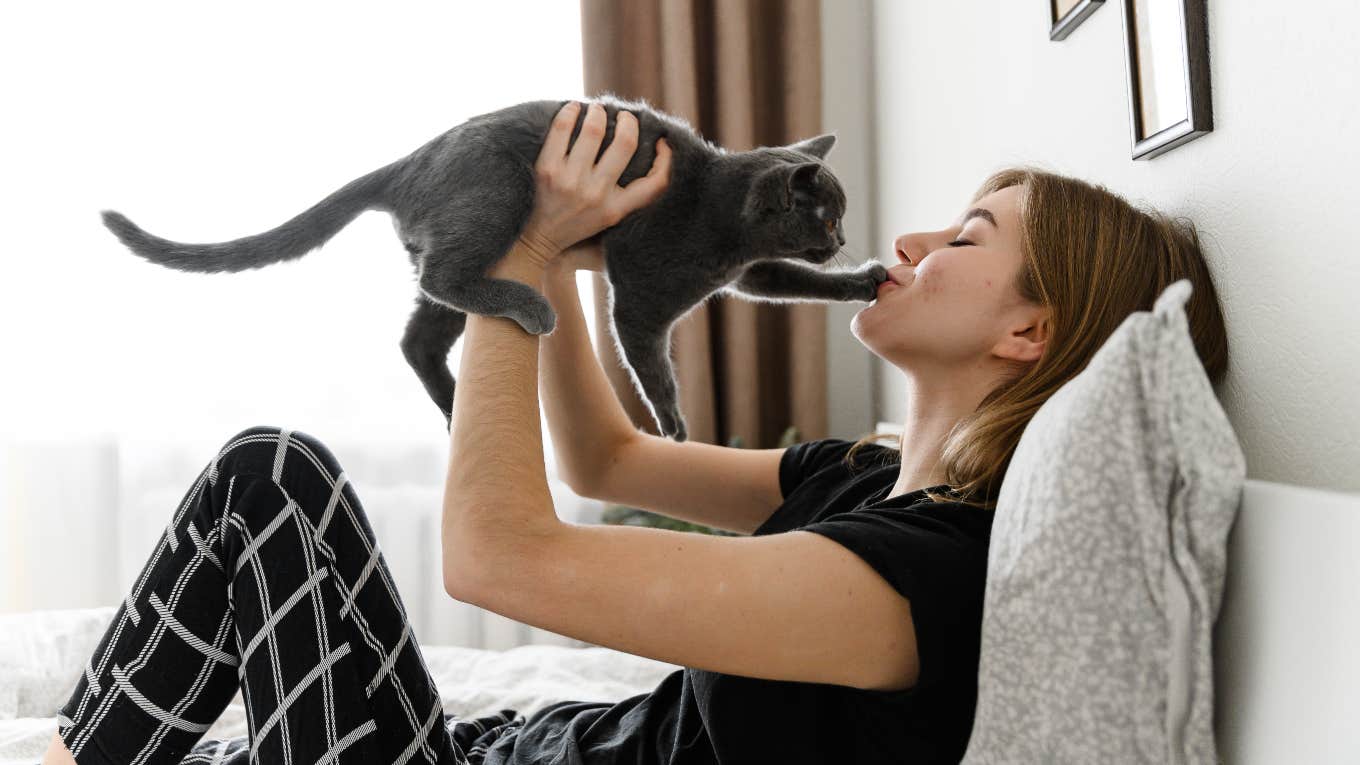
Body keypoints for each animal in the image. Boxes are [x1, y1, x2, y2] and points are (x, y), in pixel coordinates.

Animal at [108, 93, 892, 441]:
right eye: (825, 216)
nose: (843, 238)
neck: (718, 212)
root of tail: (407, 164)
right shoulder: (642, 292)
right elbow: (651, 358)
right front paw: (674, 426)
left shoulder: (750, 273)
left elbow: (793, 285)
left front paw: (862, 281)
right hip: (497, 198)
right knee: (442, 284)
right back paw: (529, 309)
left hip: (460, 236)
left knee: (417, 335)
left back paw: (455, 402)